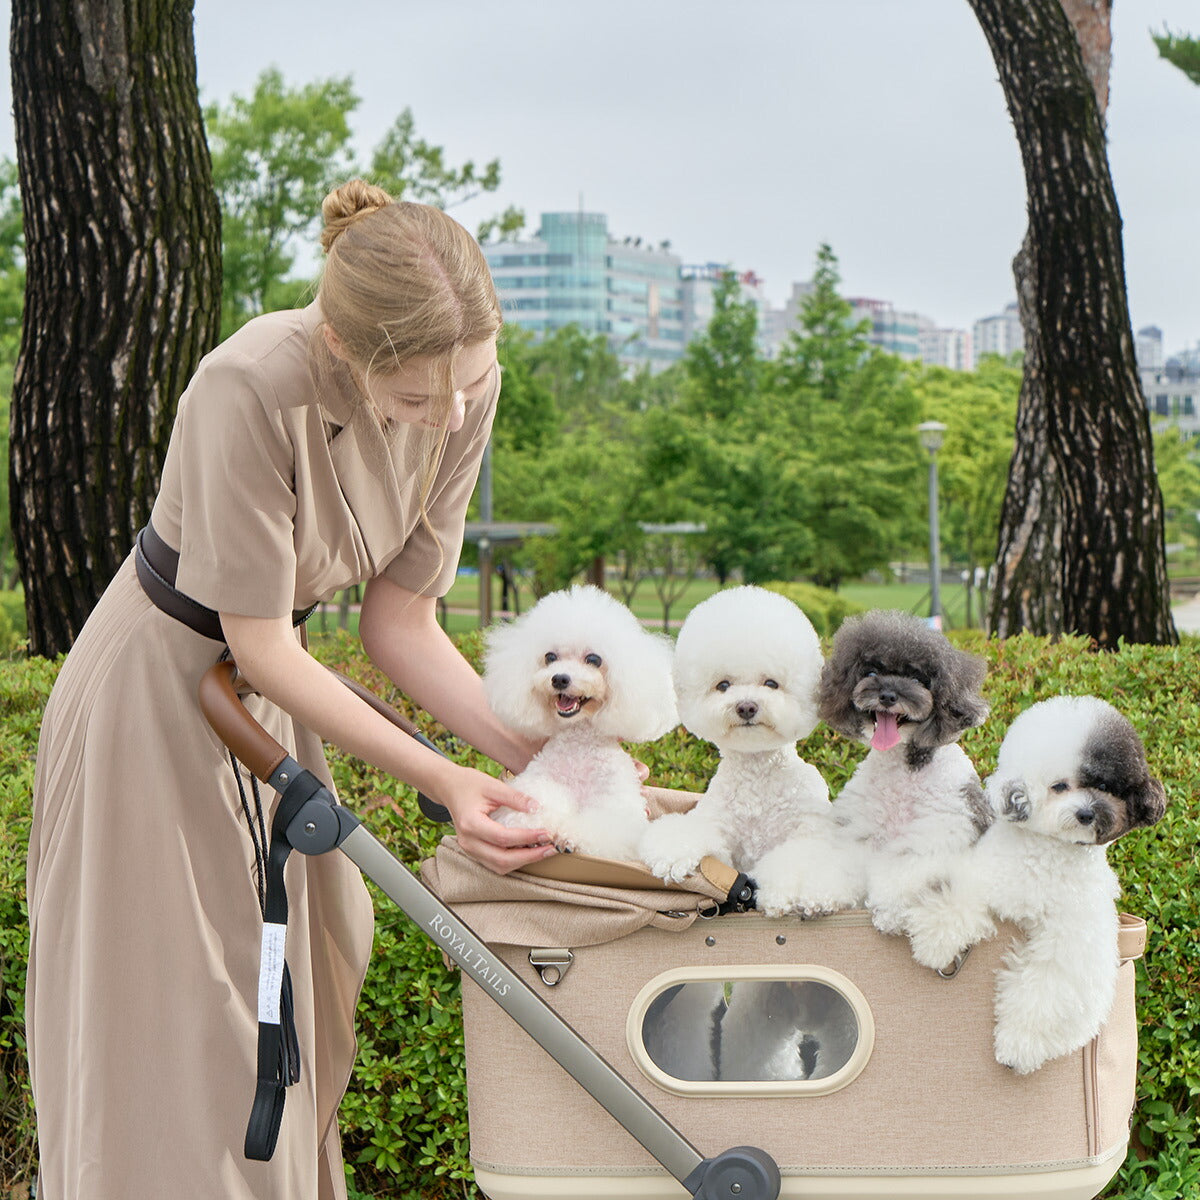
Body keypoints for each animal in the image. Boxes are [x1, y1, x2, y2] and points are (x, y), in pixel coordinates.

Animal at [753, 614, 988, 921]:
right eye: (871, 674)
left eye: (918, 679)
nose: (887, 696)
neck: (901, 768)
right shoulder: (860, 837)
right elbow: (838, 869)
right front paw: (817, 897)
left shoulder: (931, 839)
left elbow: (905, 877)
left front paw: (892, 911)